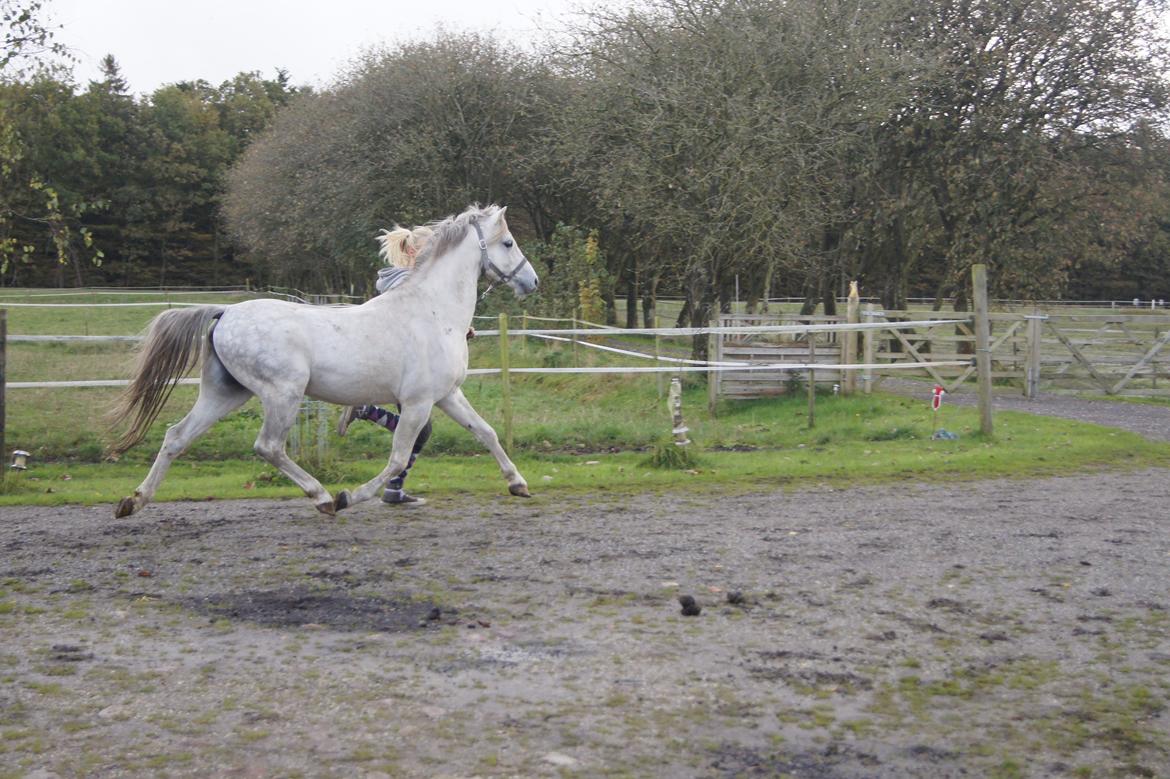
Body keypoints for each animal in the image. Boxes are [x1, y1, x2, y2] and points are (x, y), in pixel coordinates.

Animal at [109, 204, 538, 514]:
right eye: (508, 243)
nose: (532, 281)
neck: (433, 311)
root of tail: (224, 313)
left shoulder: (447, 395)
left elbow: (486, 432)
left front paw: (518, 484)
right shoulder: (418, 403)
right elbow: (398, 458)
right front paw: (351, 496)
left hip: (225, 393)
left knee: (176, 436)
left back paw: (133, 501)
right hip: (282, 393)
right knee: (268, 447)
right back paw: (323, 498)